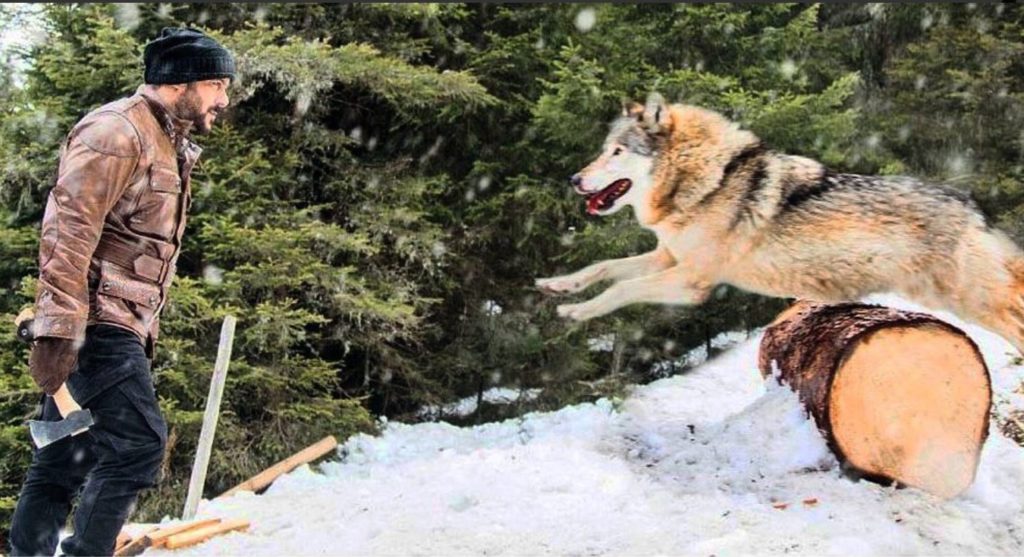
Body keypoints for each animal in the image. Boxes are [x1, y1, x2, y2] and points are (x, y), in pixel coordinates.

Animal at [536, 93, 1024, 355]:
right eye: (603, 150)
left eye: (616, 152)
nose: (573, 179)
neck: (709, 181)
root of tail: (973, 206)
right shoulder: (666, 257)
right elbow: (602, 268)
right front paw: (557, 286)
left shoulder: (692, 282)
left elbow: (621, 289)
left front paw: (576, 313)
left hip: (966, 300)